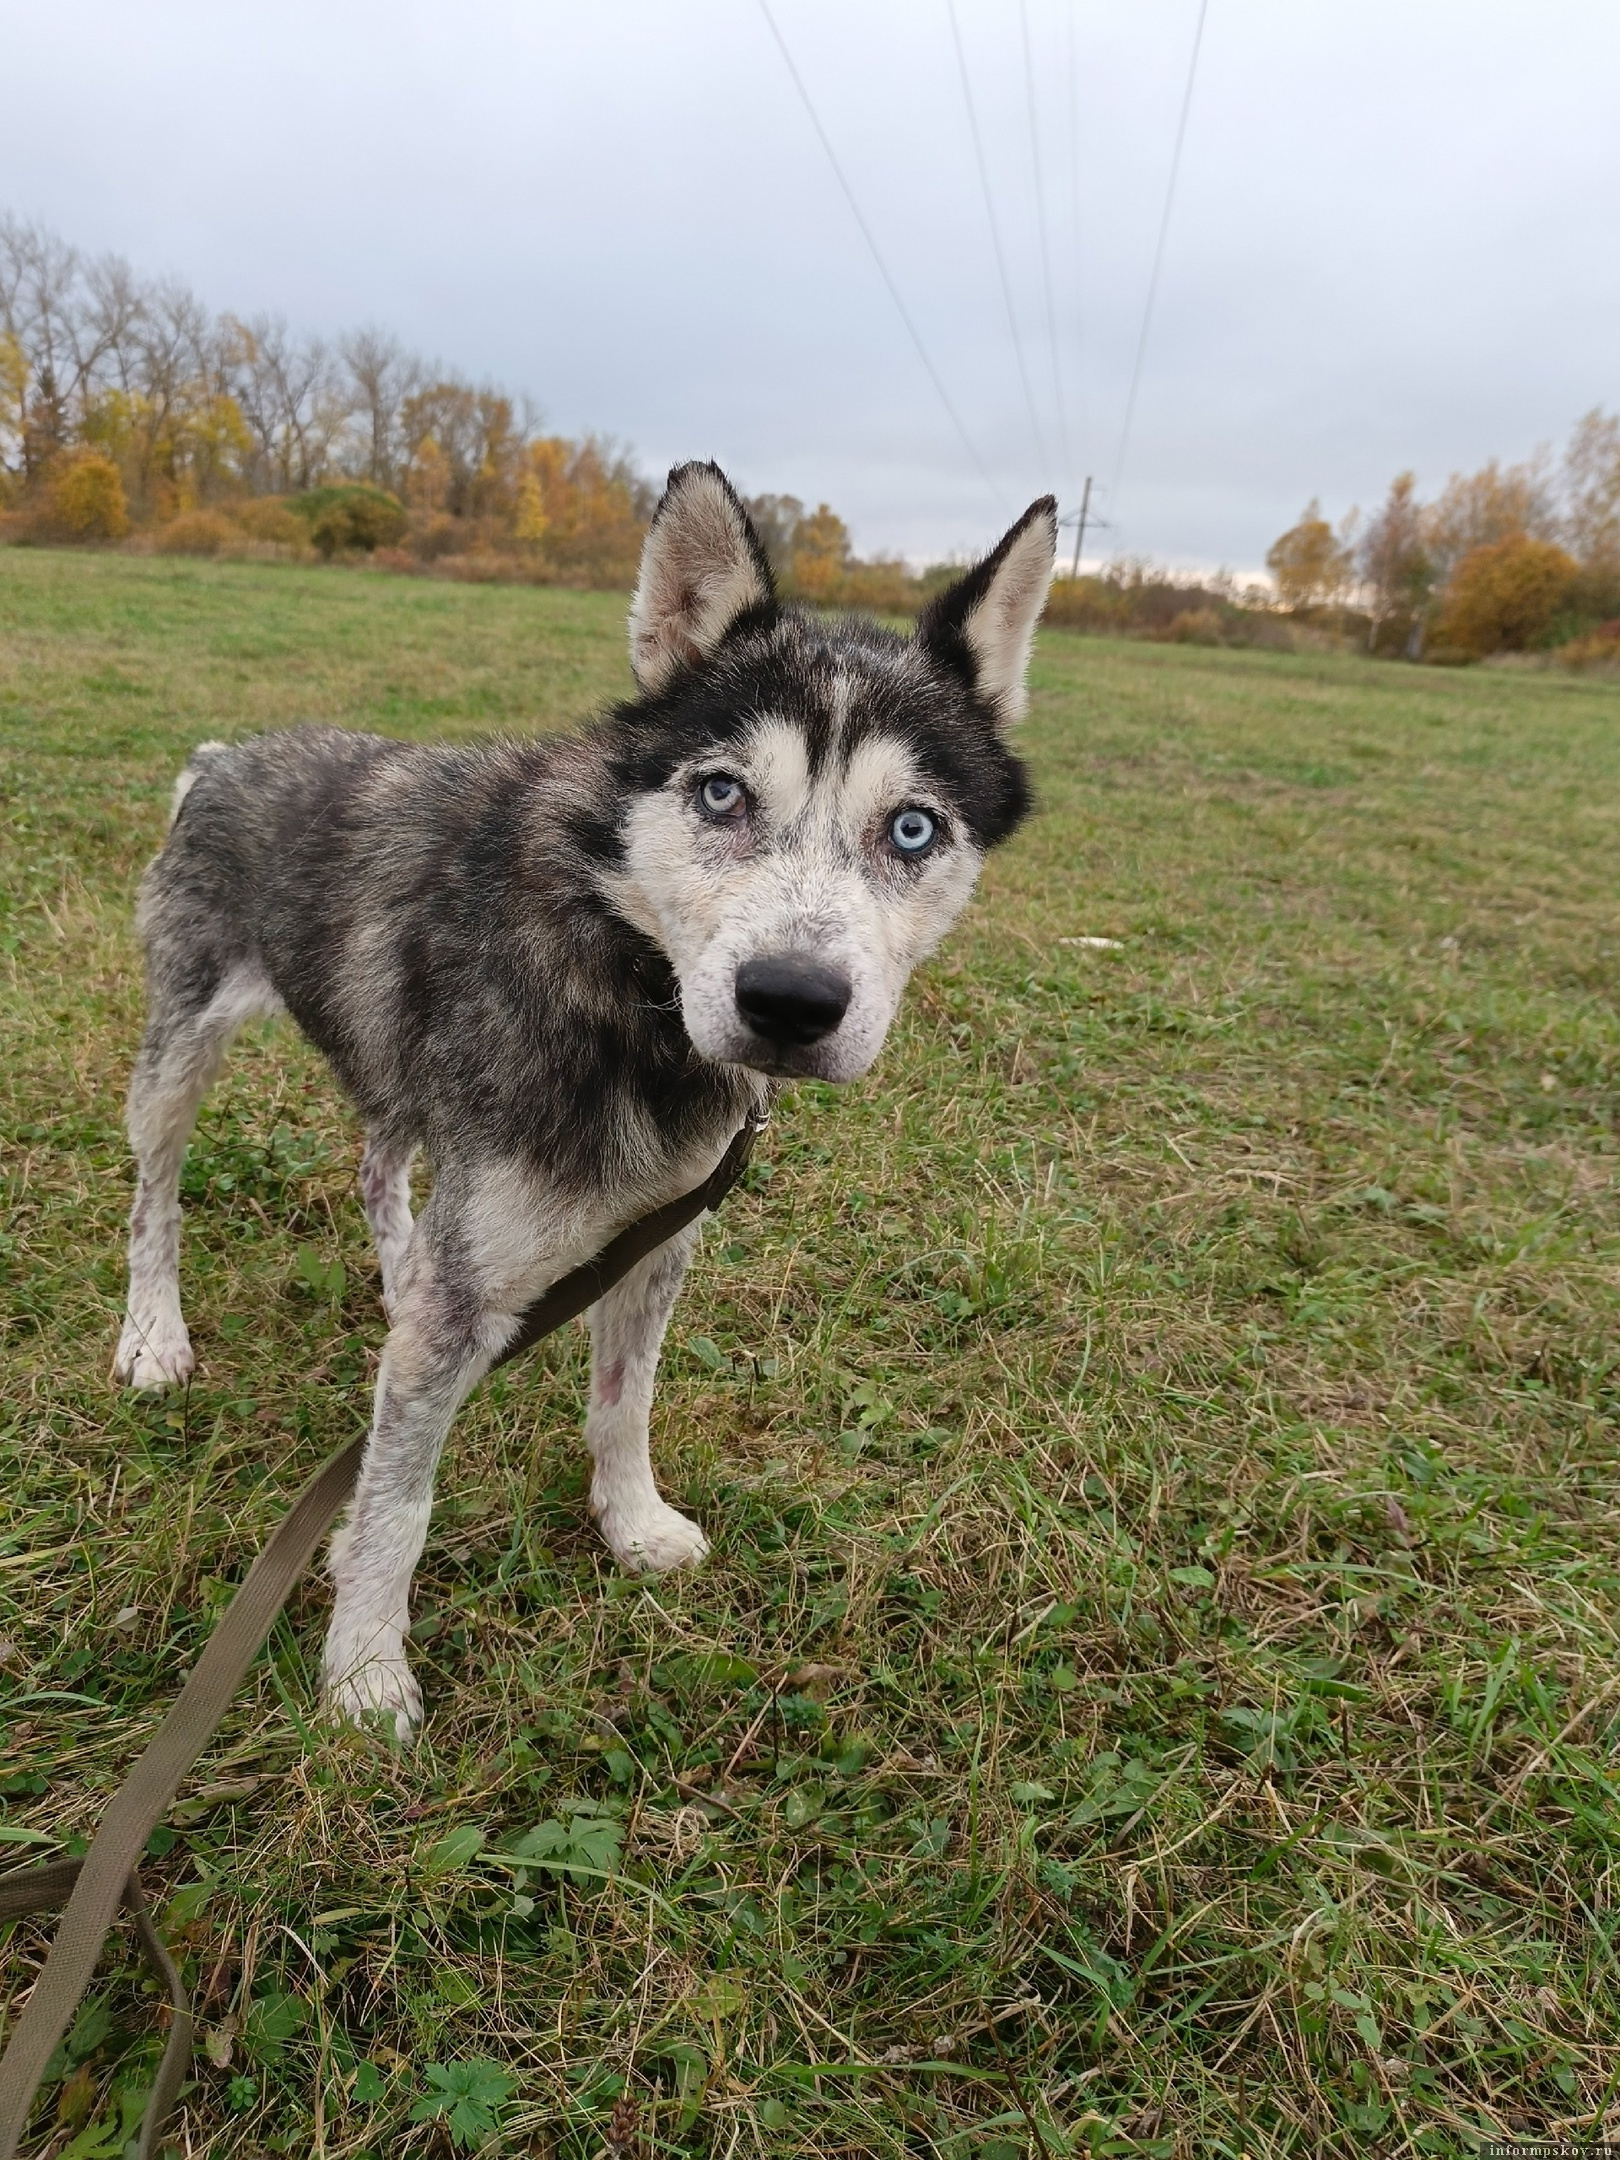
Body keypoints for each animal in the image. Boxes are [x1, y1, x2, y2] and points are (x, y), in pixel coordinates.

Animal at [114, 460, 1054, 1736]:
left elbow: (625, 1400)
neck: (623, 963)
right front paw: (364, 1671)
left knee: (378, 1166)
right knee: (154, 1197)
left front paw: (631, 1523)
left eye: (913, 828)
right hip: (181, 1049)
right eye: (721, 794)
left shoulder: (658, 1237)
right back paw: (154, 1335)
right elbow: (397, 1498)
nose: (791, 1001)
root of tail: (221, 757)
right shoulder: (474, 1284)